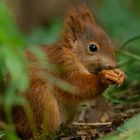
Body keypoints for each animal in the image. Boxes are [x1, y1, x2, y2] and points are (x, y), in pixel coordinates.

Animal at [1, 5, 126, 139]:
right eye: (93, 48)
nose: (113, 65)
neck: (73, 54)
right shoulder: (63, 66)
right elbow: (77, 86)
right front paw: (103, 77)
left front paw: (120, 74)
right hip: (42, 100)